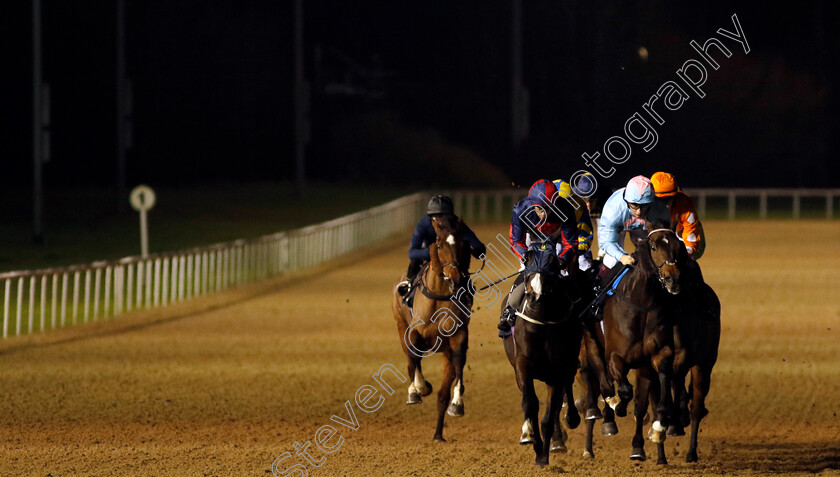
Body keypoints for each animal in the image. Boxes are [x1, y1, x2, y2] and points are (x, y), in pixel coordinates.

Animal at [392, 214, 472, 440]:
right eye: (440, 244)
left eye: (463, 243)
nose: (455, 276)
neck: (439, 296)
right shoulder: (413, 333)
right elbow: (414, 360)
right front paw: (418, 389)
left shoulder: (458, 336)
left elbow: (458, 363)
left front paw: (457, 404)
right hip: (400, 325)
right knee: (410, 361)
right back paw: (415, 391)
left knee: (443, 392)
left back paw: (438, 434)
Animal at [502, 244, 580, 466]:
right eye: (529, 273)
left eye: (550, 275)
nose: (534, 300)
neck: (541, 324)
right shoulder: (523, 365)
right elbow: (530, 403)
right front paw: (531, 438)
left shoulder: (557, 370)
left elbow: (550, 412)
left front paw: (544, 455)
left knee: (565, 390)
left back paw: (570, 421)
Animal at [600, 229, 684, 462]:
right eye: (653, 247)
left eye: (678, 246)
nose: (673, 278)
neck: (642, 306)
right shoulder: (615, 357)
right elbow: (625, 390)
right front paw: (618, 406)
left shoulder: (658, 356)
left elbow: (656, 401)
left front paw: (658, 429)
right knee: (603, 382)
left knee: (640, 404)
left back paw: (639, 445)